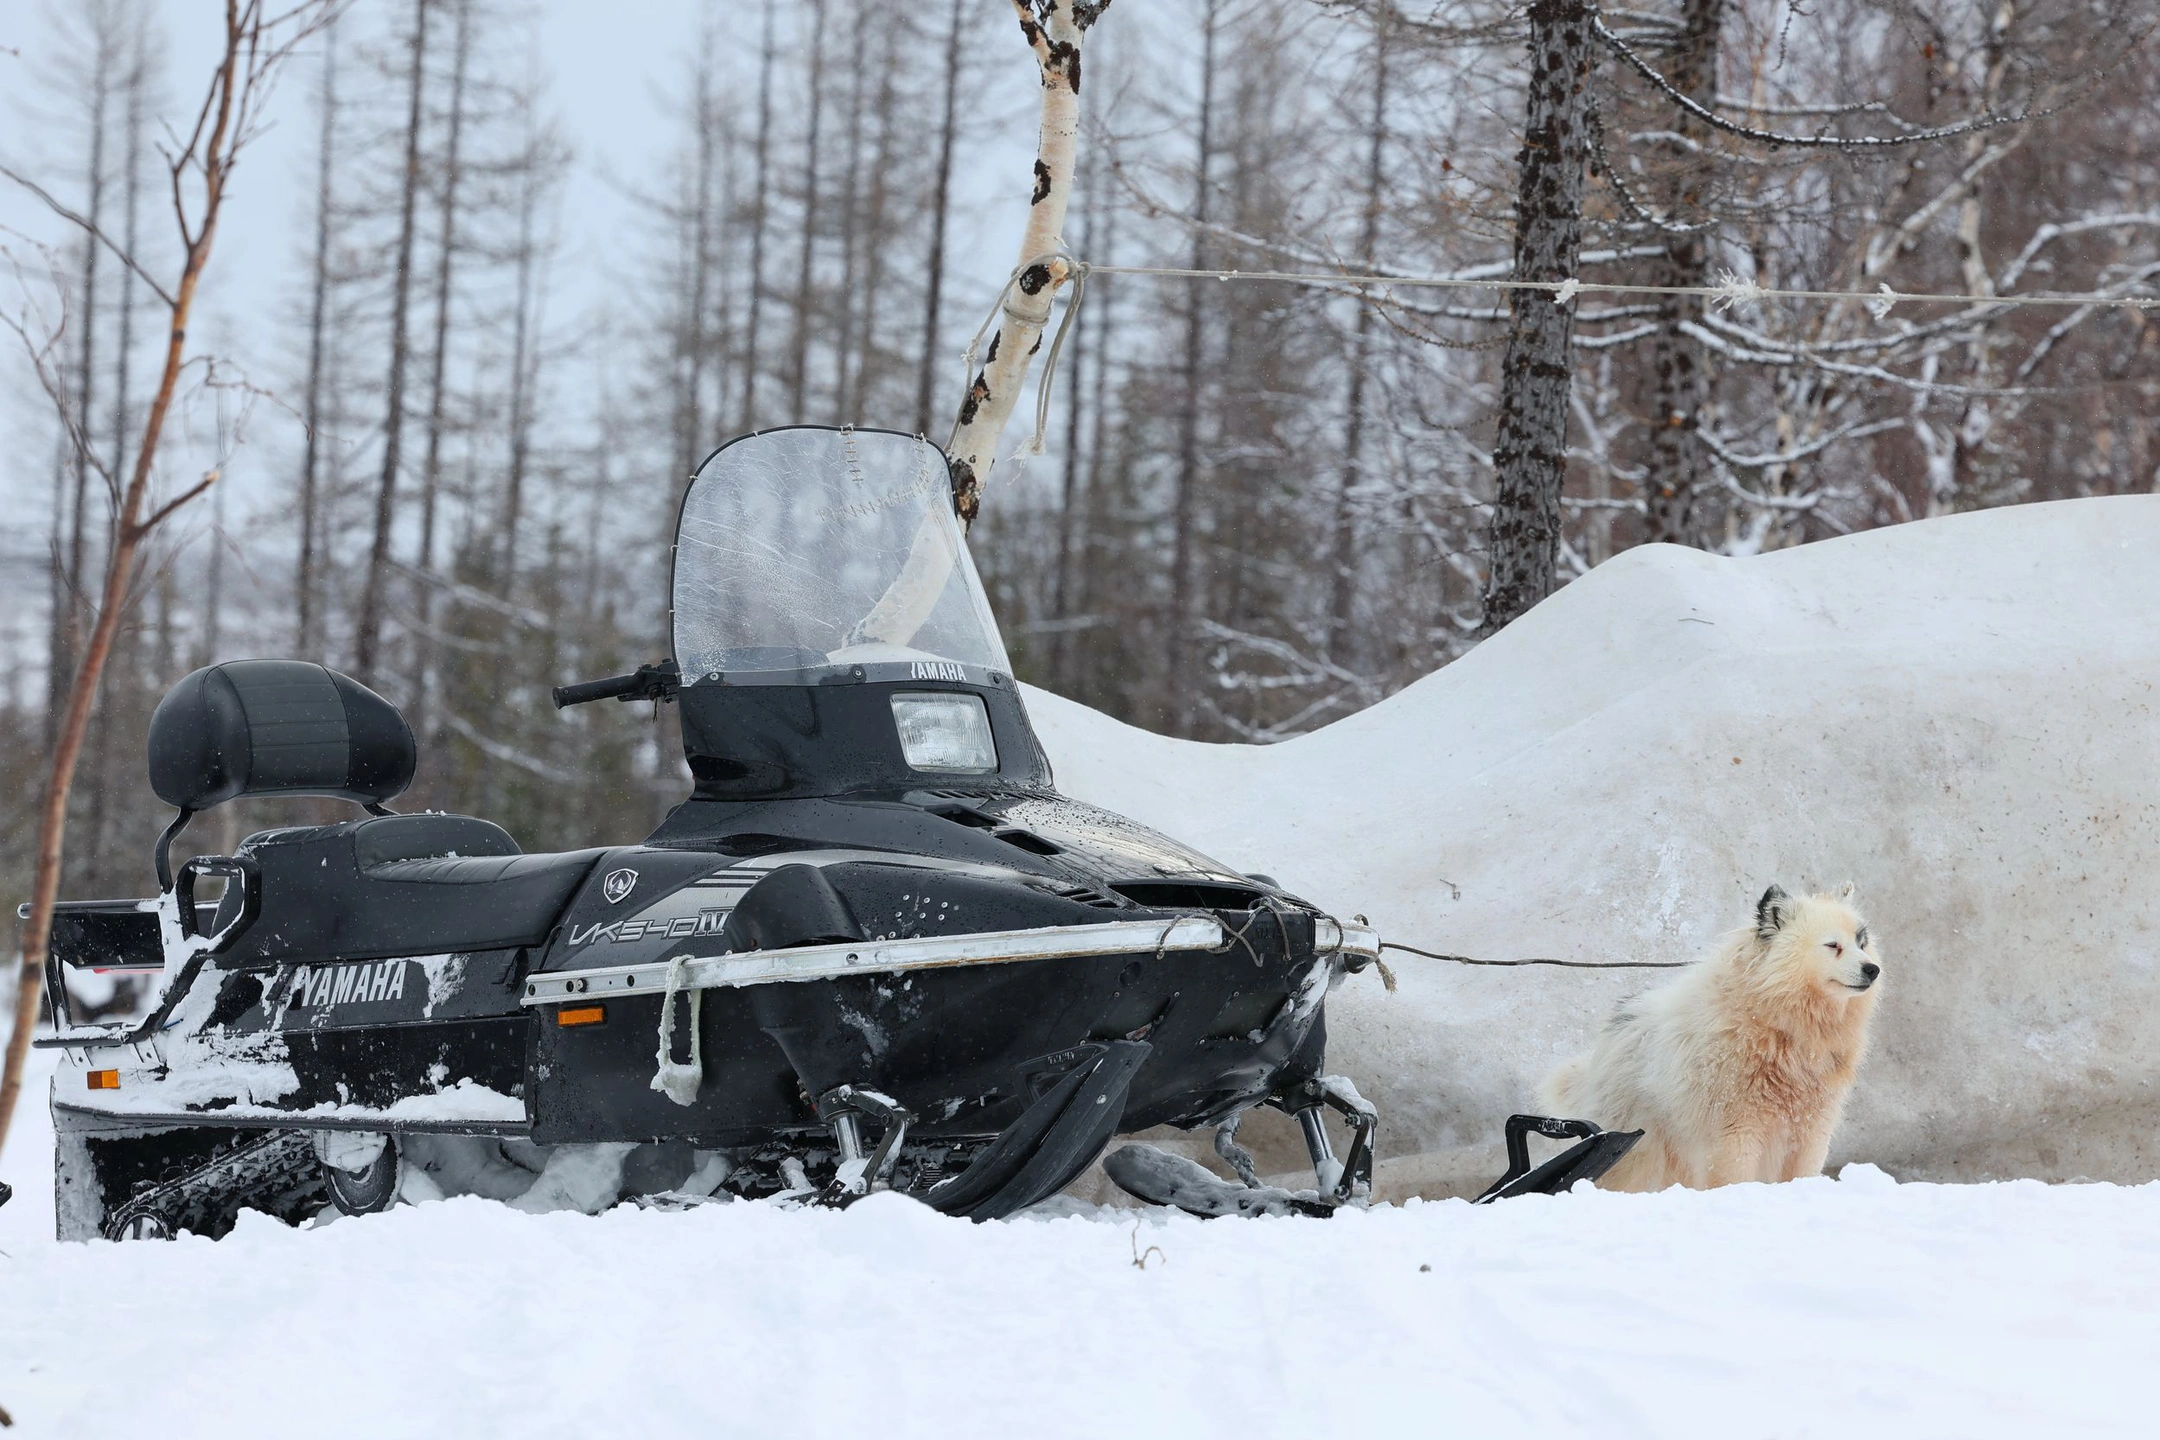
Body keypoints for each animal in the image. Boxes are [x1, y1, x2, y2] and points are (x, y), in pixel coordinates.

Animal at [1546, 889, 1883, 1191]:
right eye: (1832, 945)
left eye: (1861, 943)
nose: (1873, 969)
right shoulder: (1735, 1129)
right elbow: (1733, 1177)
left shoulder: (1811, 1127)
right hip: (1637, 1151)